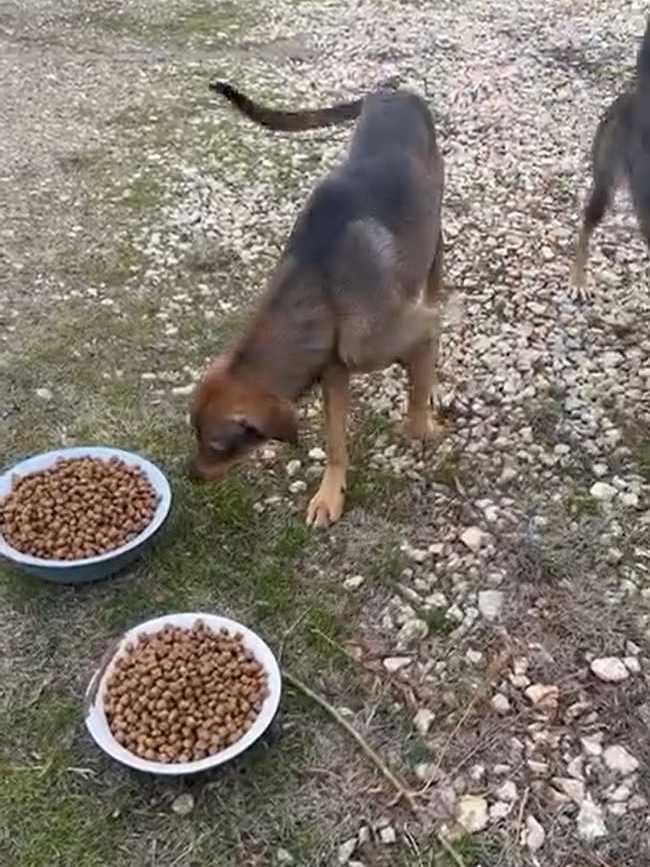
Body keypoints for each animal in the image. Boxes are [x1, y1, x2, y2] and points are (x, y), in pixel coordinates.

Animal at [189, 81, 446, 528]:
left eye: (220, 446)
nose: (190, 476)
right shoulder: (334, 374)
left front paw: (426, 427)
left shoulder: (416, 335)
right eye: (195, 435)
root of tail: (392, 90)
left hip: (435, 232)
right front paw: (330, 494)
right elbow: (335, 443)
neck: (322, 287)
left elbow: (416, 407)